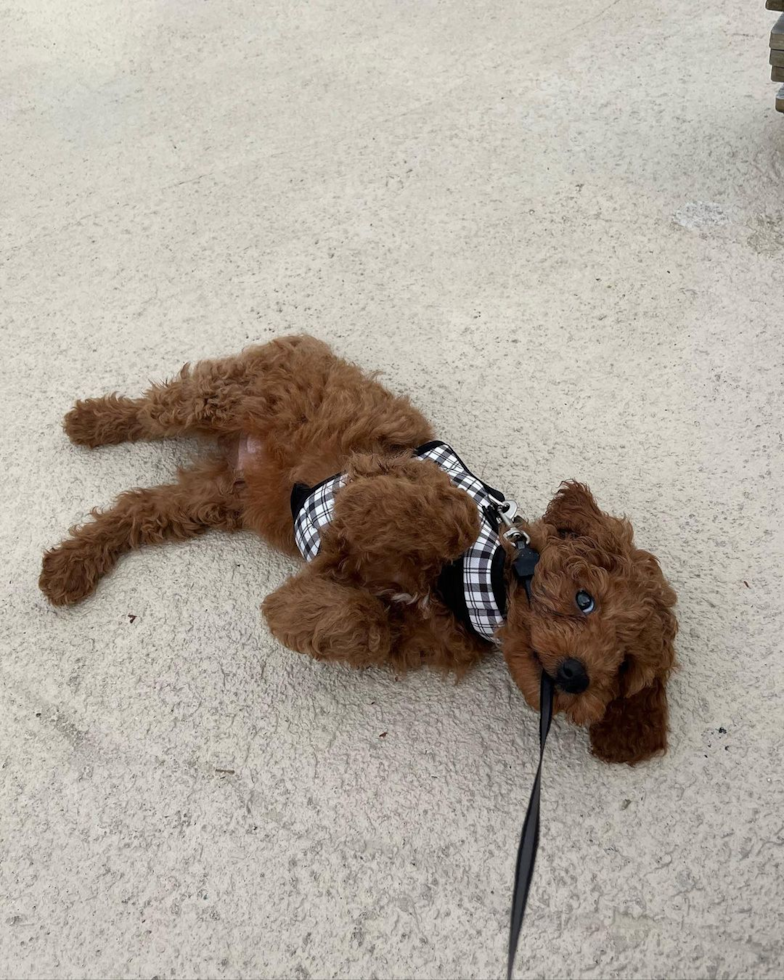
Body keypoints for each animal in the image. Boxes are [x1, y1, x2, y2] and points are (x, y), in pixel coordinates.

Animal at [39, 336, 676, 764]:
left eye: (625, 667)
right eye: (585, 600)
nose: (575, 676)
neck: (479, 579)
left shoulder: (410, 636)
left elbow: (367, 624)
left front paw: (300, 606)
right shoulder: (384, 480)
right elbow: (436, 517)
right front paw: (319, 579)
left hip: (211, 500)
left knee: (134, 510)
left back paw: (68, 568)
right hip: (222, 397)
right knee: (154, 410)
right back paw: (91, 420)